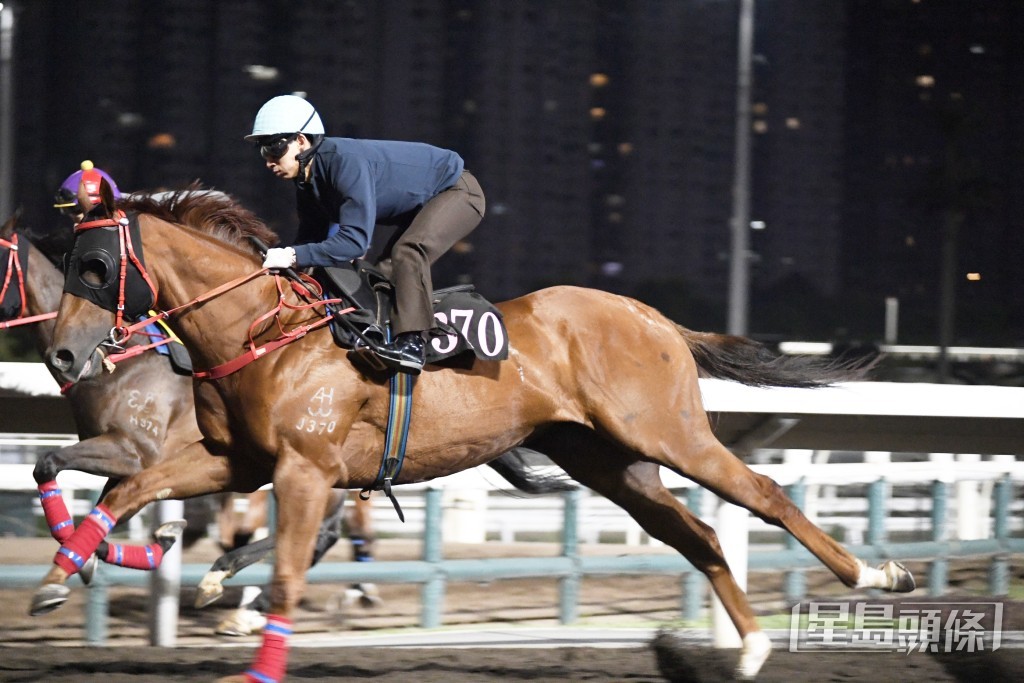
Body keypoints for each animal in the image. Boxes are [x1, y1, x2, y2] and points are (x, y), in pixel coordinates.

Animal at [39, 188, 915, 682]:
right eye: (67, 263)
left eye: (95, 268)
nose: (62, 355)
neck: (265, 328)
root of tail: (657, 318)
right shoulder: (233, 459)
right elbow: (132, 484)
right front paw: (63, 569)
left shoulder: (305, 470)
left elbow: (286, 575)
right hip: (612, 463)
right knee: (697, 533)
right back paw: (753, 647)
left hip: (670, 434)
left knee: (763, 494)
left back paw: (875, 574)